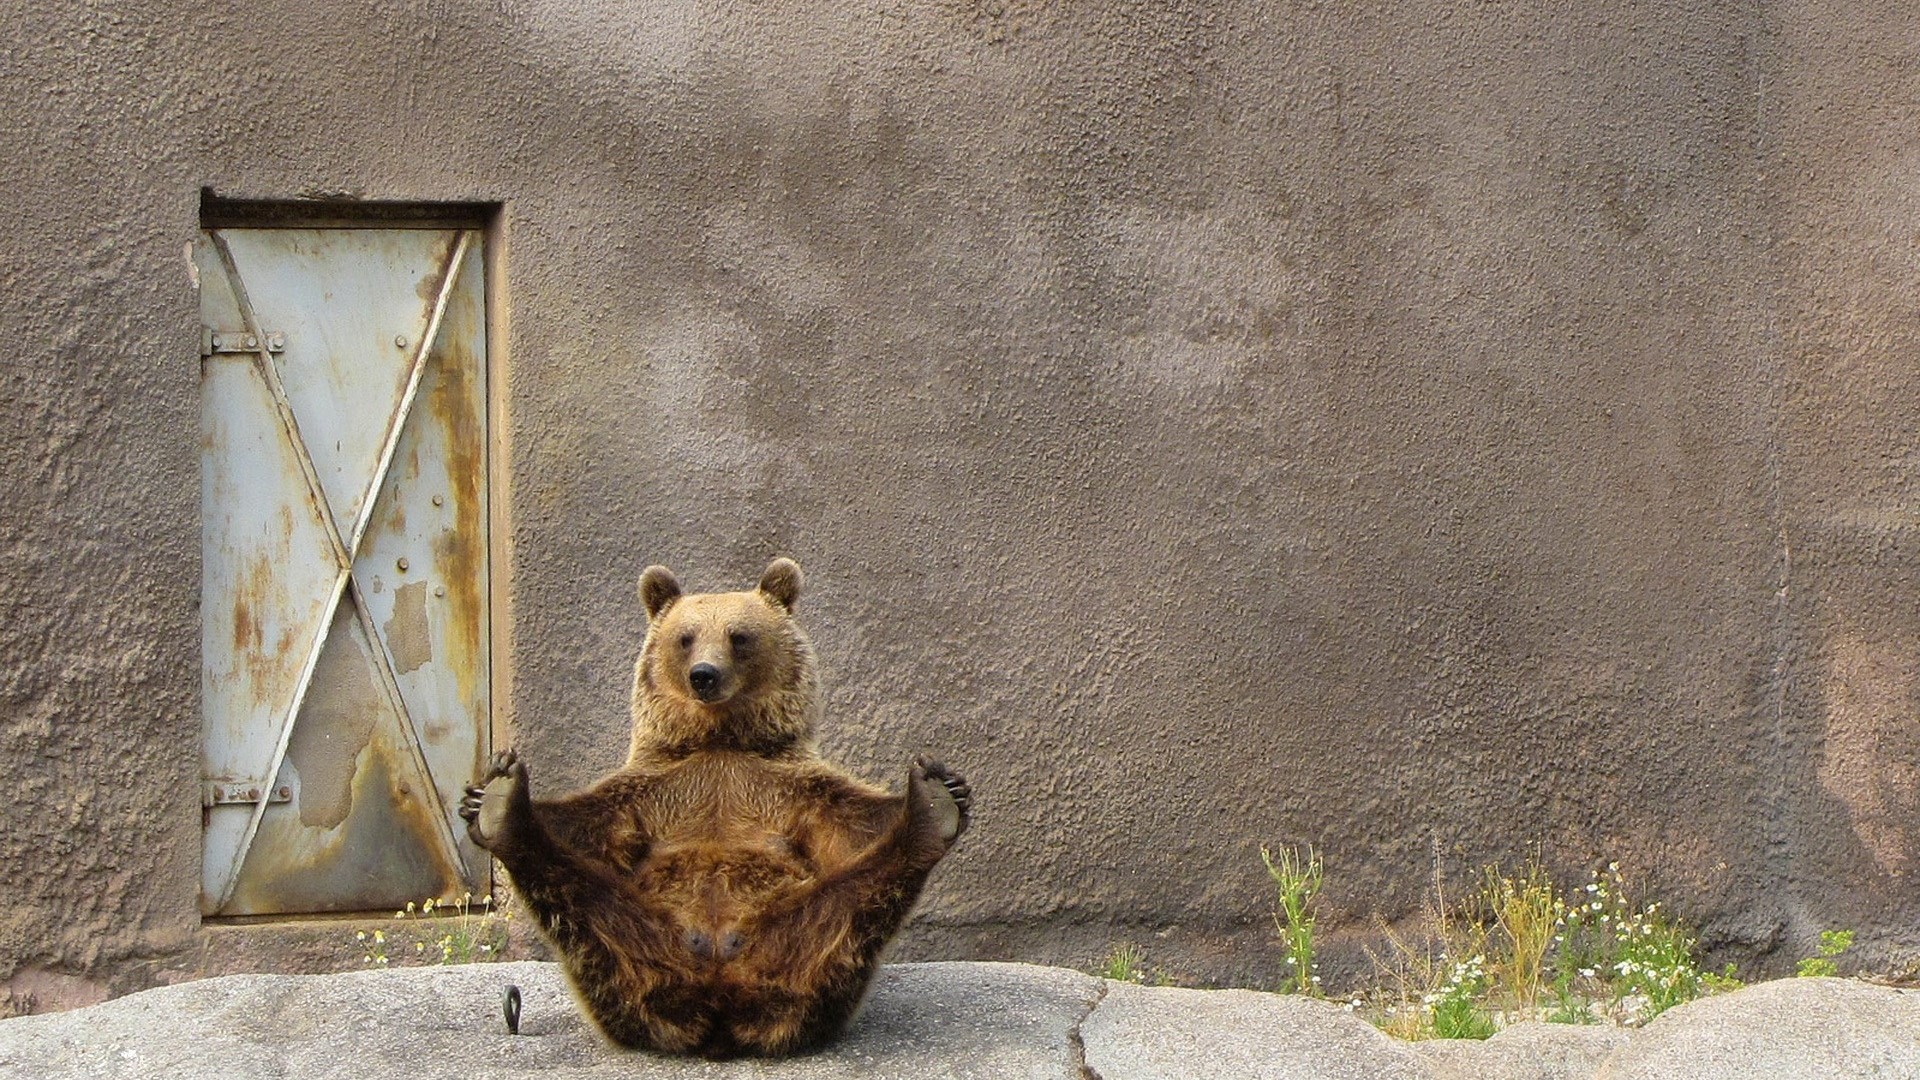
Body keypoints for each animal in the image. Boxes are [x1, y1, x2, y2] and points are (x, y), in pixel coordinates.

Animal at [458, 557, 971, 1058]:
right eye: (685, 637)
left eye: (738, 636)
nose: (704, 674)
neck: (719, 739)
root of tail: (720, 1005)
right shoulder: (655, 789)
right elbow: (586, 824)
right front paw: (480, 795)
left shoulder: (787, 786)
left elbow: (853, 822)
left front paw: (946, 786)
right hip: (631, 950)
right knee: (583, 901)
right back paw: (504, 809)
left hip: (796, 940)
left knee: (851, 906)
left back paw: (931, 812)